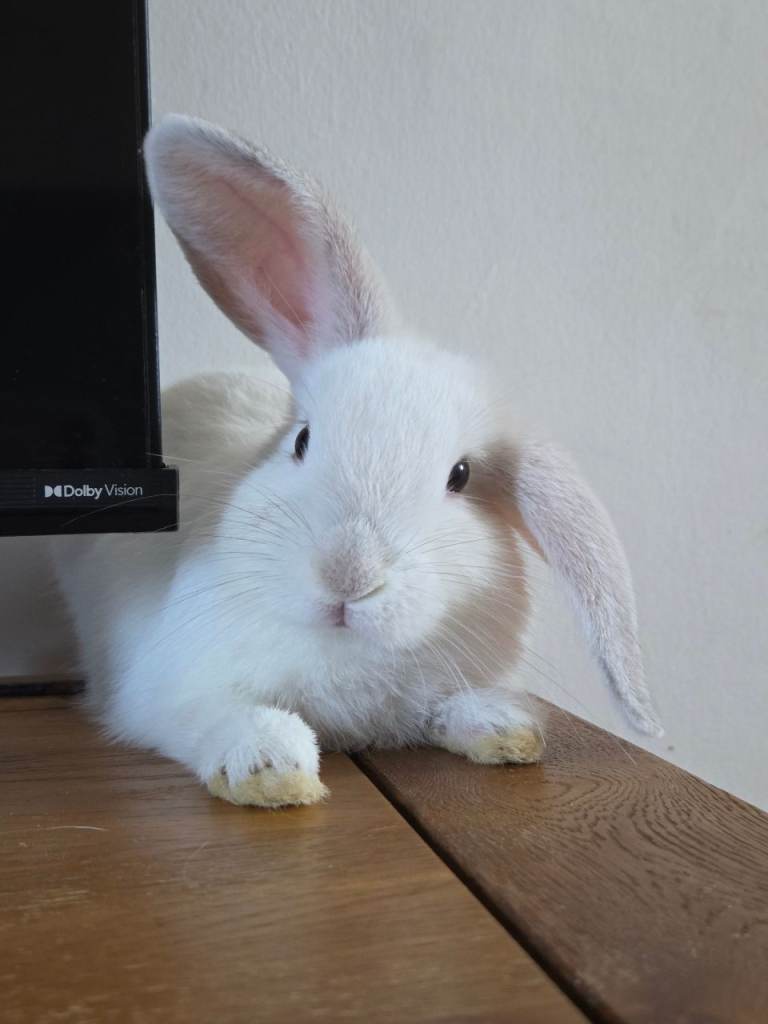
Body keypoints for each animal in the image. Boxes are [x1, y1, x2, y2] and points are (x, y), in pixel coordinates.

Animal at [51, 114, 662, 809]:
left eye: (460, 476)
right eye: (302, 440)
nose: (347, 575)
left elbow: (452, 710)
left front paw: (506, 729)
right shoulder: (169, 690)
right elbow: (228, 715)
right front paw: (273, 771)